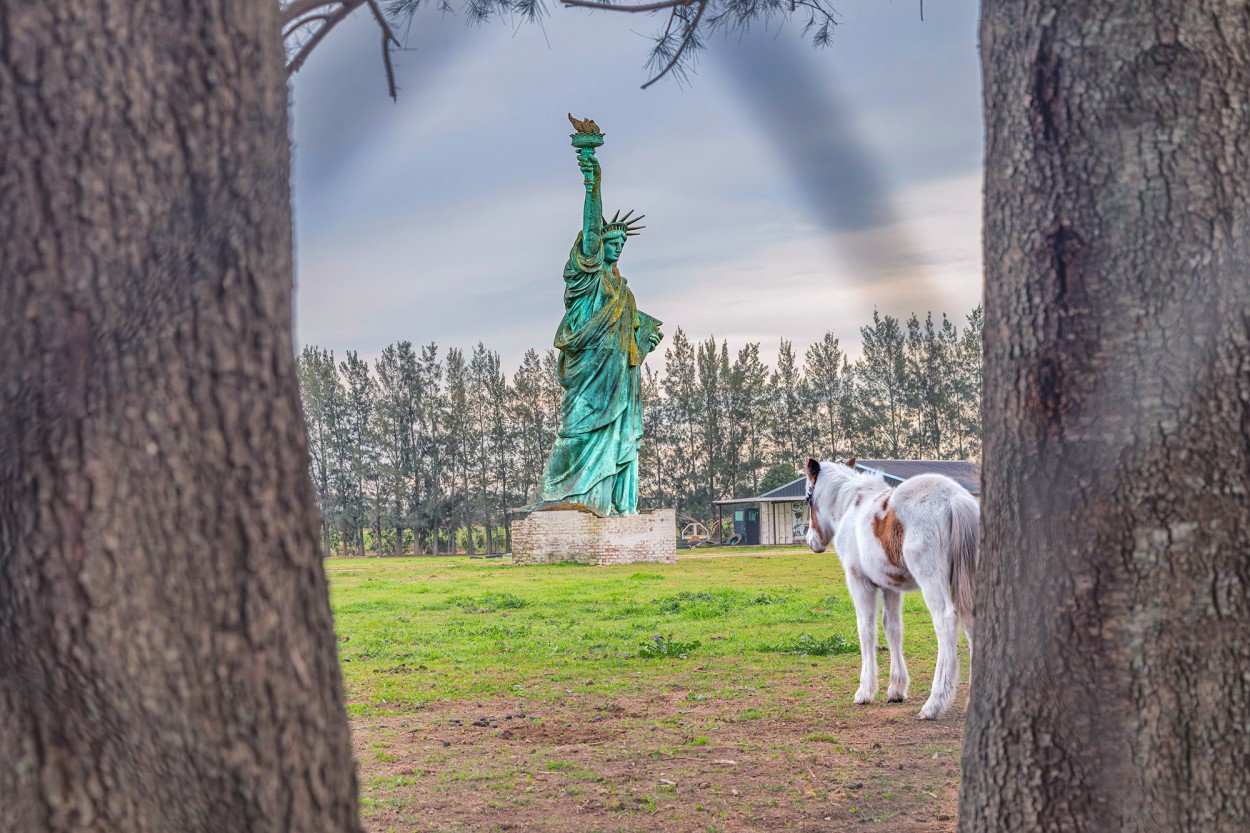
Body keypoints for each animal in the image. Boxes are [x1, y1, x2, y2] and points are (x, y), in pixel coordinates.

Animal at [805, 457, 980, 715]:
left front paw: (865, 691)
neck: (851, 507)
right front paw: (896, 689)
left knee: (945, 620)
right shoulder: (890, 586)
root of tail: (954, 498)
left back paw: (934, 702)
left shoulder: (859, 581)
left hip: (931, 578)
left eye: (808, 497)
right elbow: (892, 628)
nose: (811, 541)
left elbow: (866, 628)